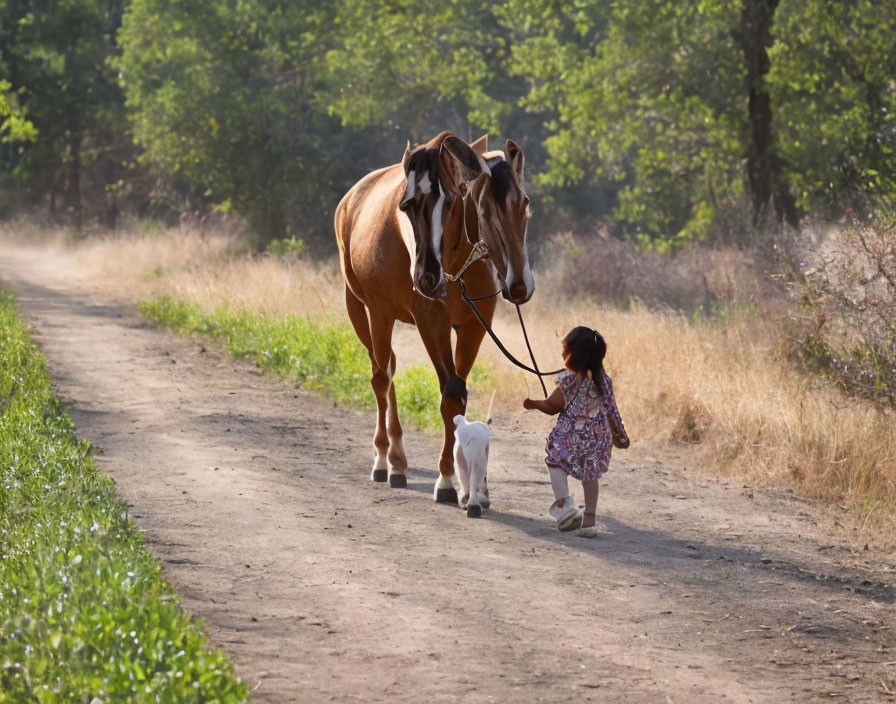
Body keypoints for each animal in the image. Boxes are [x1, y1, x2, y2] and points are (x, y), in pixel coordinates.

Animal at [334, 132, 532, 504]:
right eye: (407, 205)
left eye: (524, 203)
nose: (518, 286)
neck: (456, 263)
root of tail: (352, 197)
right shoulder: (431, 322)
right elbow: (450, 395)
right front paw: (446, 480)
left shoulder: (474, 325)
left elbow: (459, 397)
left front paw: (469, 483)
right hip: (367, 311)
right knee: (381, 376)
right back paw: (386, 459)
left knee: (388, 368)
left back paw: (397, 458)